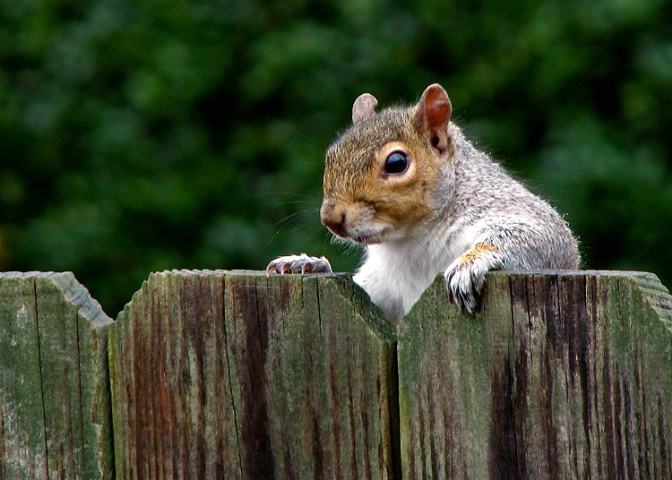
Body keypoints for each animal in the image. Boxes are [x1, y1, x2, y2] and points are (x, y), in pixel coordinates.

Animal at [266, 83, 580, 322]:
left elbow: (542, 237)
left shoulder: (517, 213)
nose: (331, 218)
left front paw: (470, 263)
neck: (412, 240)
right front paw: (308, 263)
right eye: (331, 155)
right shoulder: (383, 288)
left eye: (396, 163)